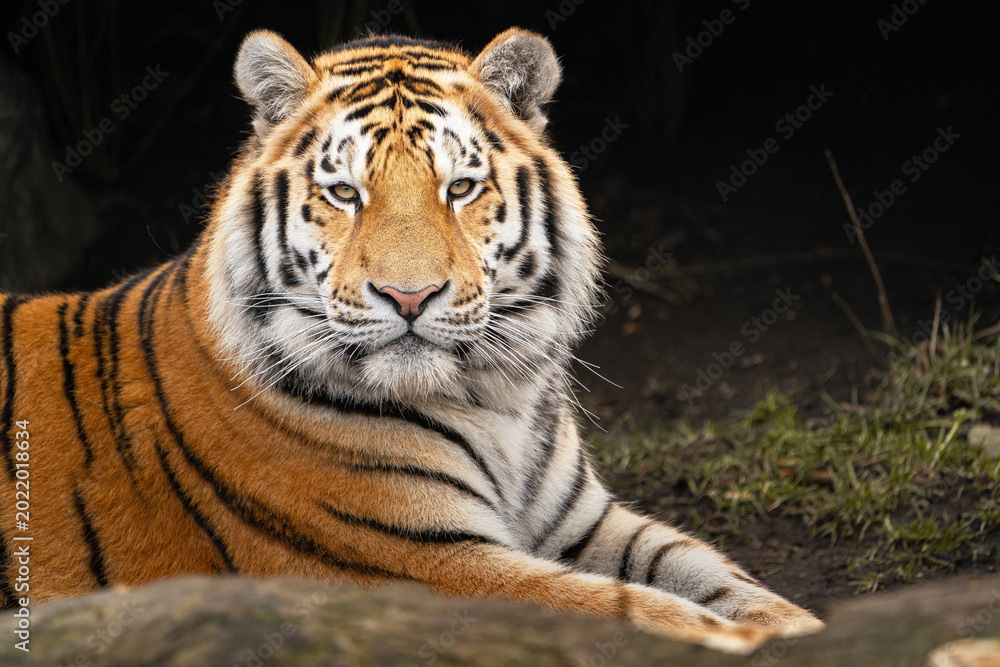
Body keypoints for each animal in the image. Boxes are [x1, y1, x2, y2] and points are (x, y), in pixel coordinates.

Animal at [0, 28, 823, 652]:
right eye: (343, 193)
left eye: (459, 188)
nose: (408, 297)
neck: (495, 398)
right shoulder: (424, 563)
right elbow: (636, 612)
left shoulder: (584, 521)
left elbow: (714, 571)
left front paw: (800, 624)